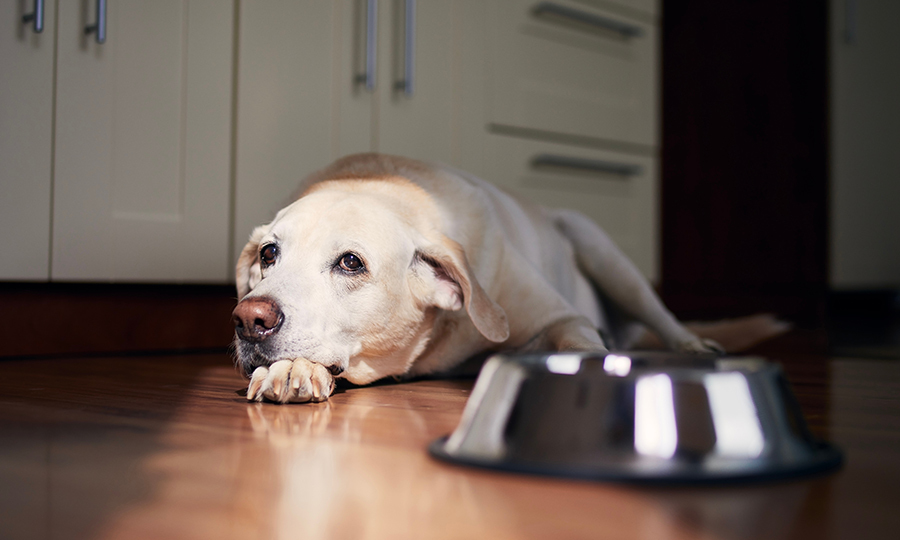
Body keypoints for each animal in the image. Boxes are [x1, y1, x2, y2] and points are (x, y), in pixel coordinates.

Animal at [234, 154, 788, 402]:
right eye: (269, 253)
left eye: (351, 263)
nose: (249, 318)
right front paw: (291, 370)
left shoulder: (561, 316)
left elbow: (577, 341)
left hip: (600, 248)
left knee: (663, 315)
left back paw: (692, 344)